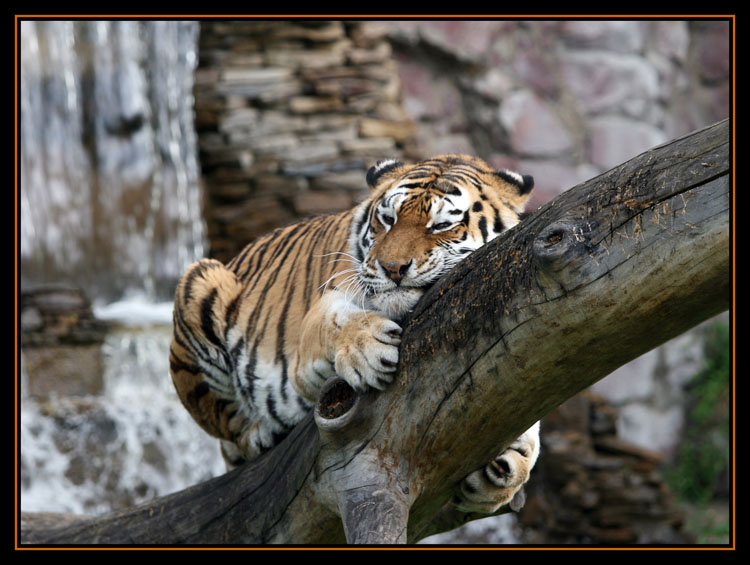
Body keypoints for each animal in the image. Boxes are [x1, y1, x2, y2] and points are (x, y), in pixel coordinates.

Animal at [170, 154, 540, 514]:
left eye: (441, 225)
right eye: (388, 219)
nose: (392, 268)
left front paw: (508, 468)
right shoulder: (314, 334)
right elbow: (334, 320)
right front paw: (368, 351)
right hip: (199, 279)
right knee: (228, 425)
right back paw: (261, 434)